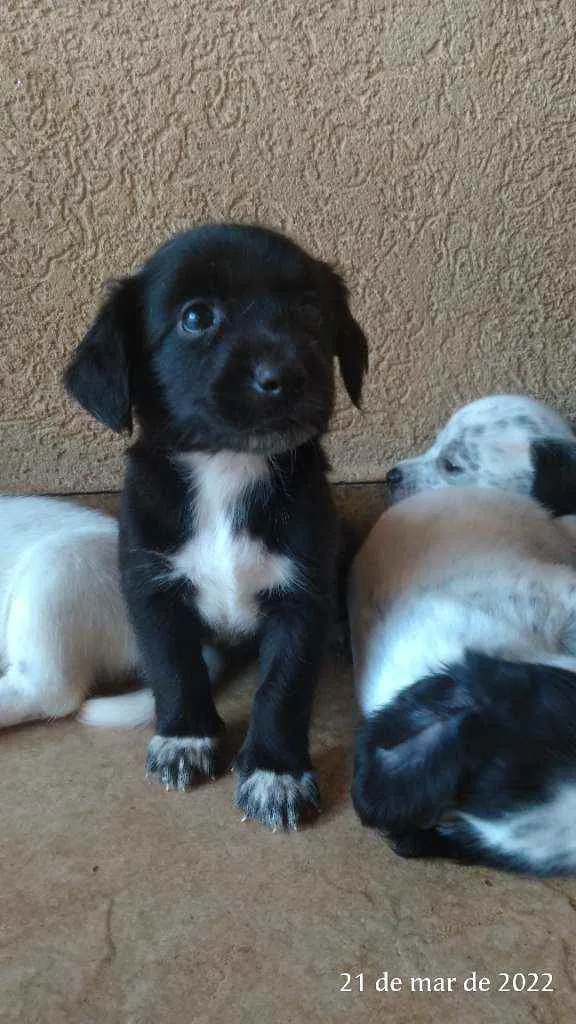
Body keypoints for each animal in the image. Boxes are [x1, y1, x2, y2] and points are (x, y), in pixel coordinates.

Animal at [65, 224, 364, 831]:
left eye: (310, 310)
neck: (227, 467)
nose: (286, 375)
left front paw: (276, 773)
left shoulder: (302, 597)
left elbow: (282, 688)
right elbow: (174, 666)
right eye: (197, 317)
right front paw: (185, 738)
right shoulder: (151, 588)